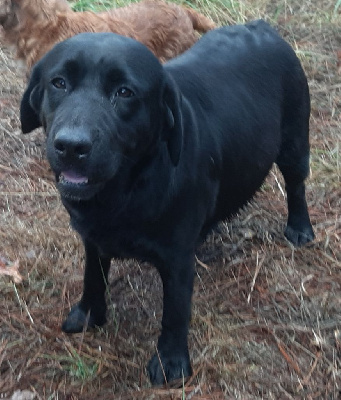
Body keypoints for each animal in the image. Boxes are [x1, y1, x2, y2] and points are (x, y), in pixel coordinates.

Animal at [19, 21, 314, 384]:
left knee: (296, 185)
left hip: (295, 142)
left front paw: (171, 362)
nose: (72, 146)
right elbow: (93, 276)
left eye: (125, 92)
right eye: (58, 82)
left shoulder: (177, 258)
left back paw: (299, 227)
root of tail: (260, 26)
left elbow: (175, 312)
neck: (126, 189)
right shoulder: (92, 238)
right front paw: (88, 314)